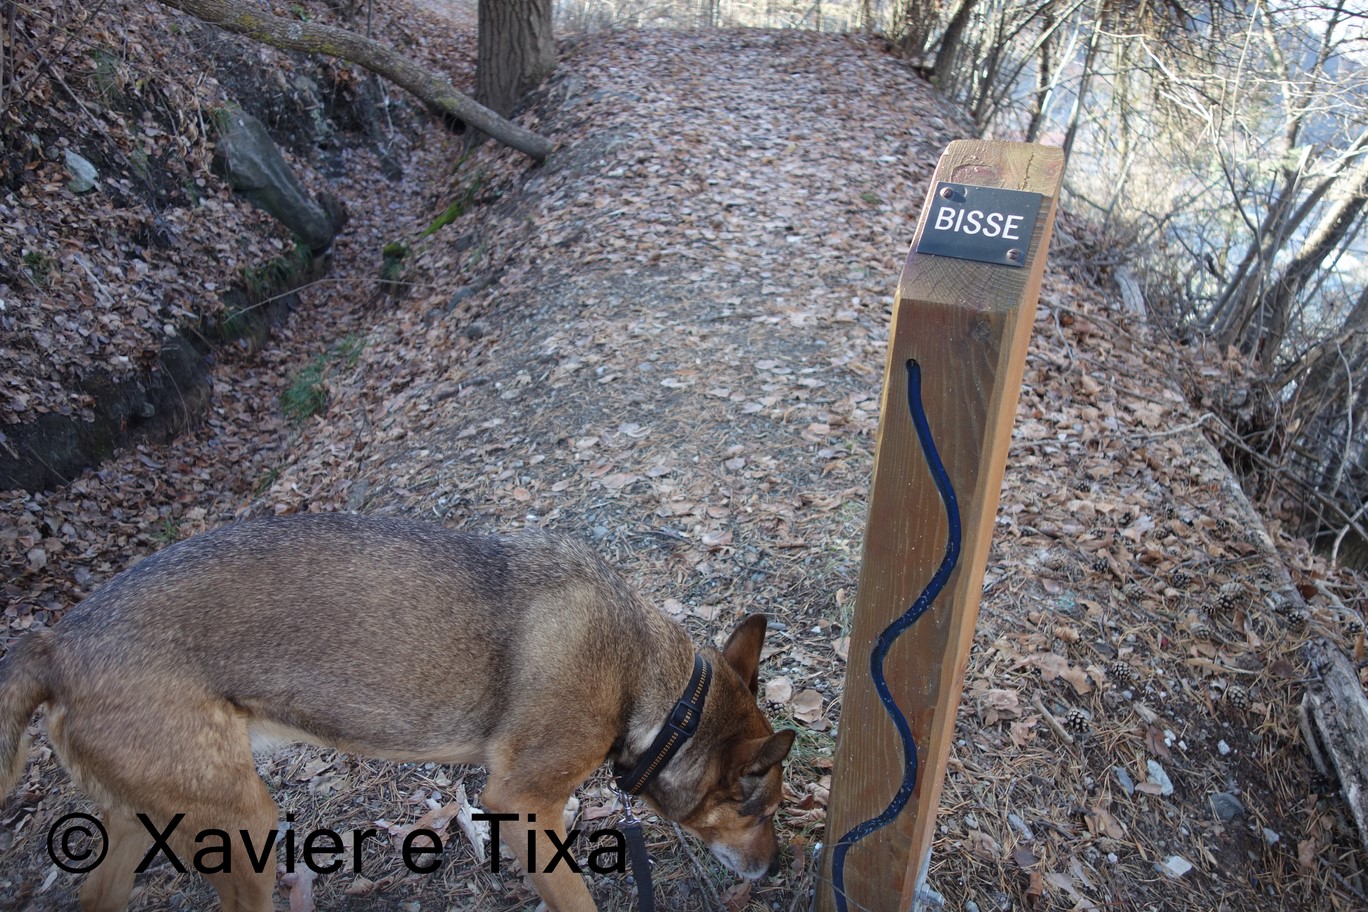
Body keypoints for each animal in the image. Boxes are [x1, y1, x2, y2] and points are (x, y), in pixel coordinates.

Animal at [0, 513, 795, 911]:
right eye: (759, 809)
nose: (776, 868)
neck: (656, 689)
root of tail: (53, 643)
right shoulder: (523, 805)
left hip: (155, 814)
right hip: (241, 825)